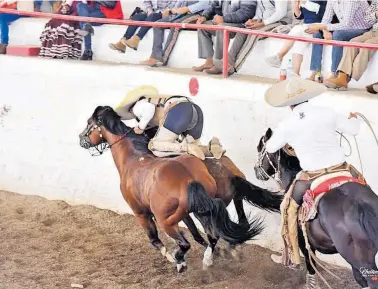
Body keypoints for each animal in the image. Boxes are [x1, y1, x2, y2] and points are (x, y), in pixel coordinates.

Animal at [78, 104, 264, 272]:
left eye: (89, 123)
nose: (81, 138)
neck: (133, 159)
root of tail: (189, 179)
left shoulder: (141, 213)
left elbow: (155, 240)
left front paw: (173, 258)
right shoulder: (185, 215)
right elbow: (197, 234)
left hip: (166, 220)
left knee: (188, 242)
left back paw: (184, 260)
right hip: (206, 208)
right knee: (228, 228)